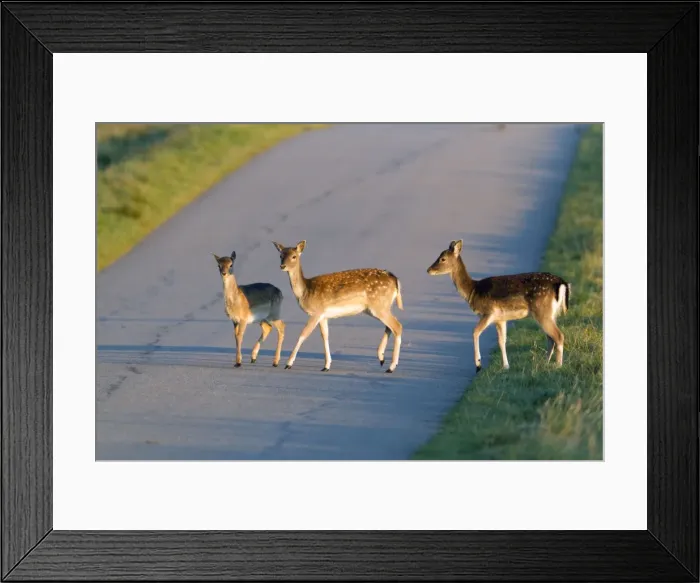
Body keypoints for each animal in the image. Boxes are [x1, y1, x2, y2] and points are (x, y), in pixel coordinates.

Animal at [272, 240, 404, 373]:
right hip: (377, 308)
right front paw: (326, 366)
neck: (305, 291)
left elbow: (303, 334)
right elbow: (325, 336)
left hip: (379, 305)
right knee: (390, 326)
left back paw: (391, 367)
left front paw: (288, 364)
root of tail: (395, 279)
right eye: (281, 255)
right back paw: (381, 358)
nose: (282, 266)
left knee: (397, 326)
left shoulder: (316, 312)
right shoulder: (323, 316)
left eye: (294, 256)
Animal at [427, 239, 571, 371]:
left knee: (559, 336)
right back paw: (546, 363)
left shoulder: (489, 312)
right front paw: (506, 366)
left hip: (542, 311)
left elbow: (475, 332)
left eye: (443, 259)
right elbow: (502, 341)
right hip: (550, 313)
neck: (473, 291)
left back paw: (558, 365)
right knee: (551, 338)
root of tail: (561, 283)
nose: (428, 270)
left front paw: (478, 364)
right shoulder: (501, 319)